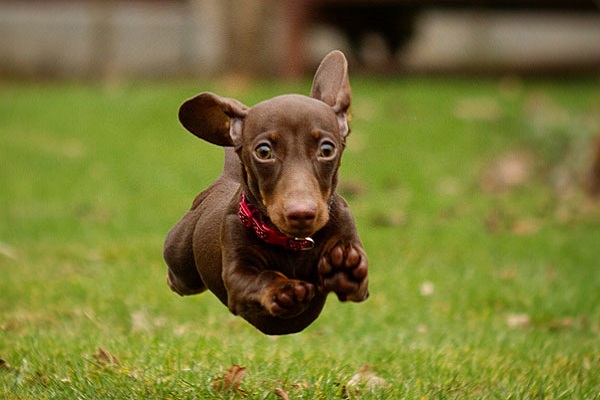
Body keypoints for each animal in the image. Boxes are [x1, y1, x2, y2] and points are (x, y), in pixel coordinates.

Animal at [165, 51, 370, 336]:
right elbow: (258, 279)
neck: (293, 243)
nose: (301, 213)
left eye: (327, 149)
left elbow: (356, 281)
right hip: (181, 261)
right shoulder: (237, 277)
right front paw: (283, 289)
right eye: (263, 152)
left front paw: (345, 269)